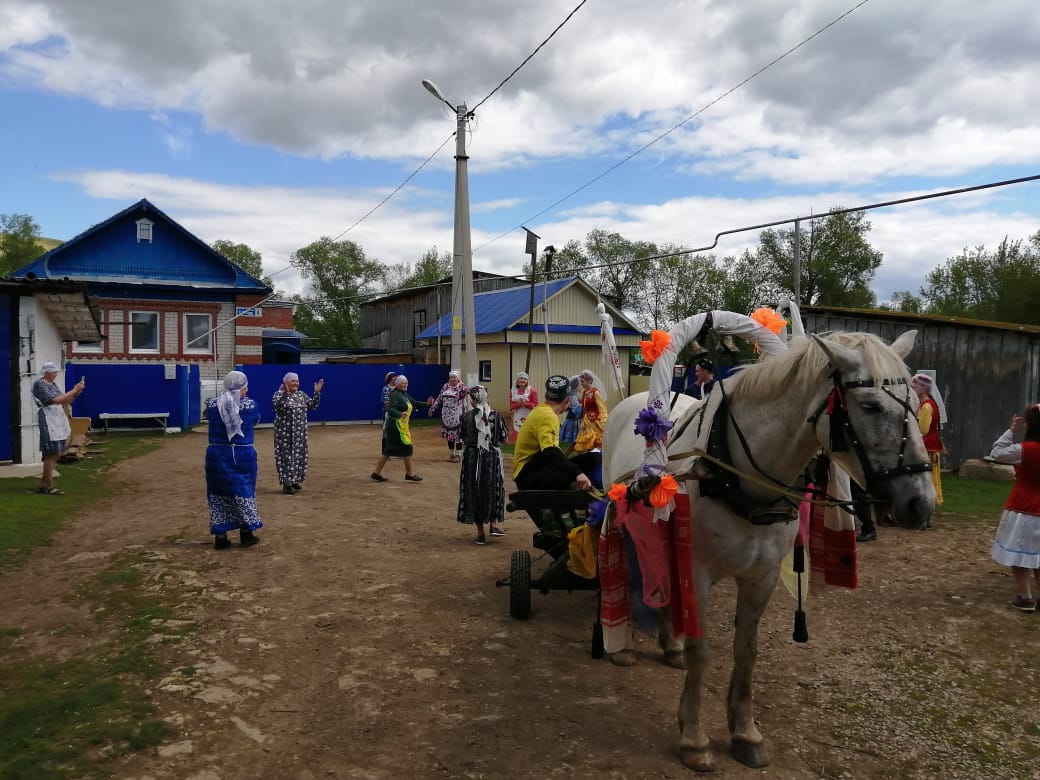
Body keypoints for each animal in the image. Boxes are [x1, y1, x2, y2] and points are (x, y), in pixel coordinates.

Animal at [602, 321, 935, 772]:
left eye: (916, 405)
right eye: (869, 405)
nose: (921, 503)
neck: (737, 475)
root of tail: (633, 402)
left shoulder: (761, 575)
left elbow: (747, 652)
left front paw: (745, 733)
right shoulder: (698, 573)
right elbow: (702, 652)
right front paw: (694, 738)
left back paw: (669, 644)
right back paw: (619, 643)